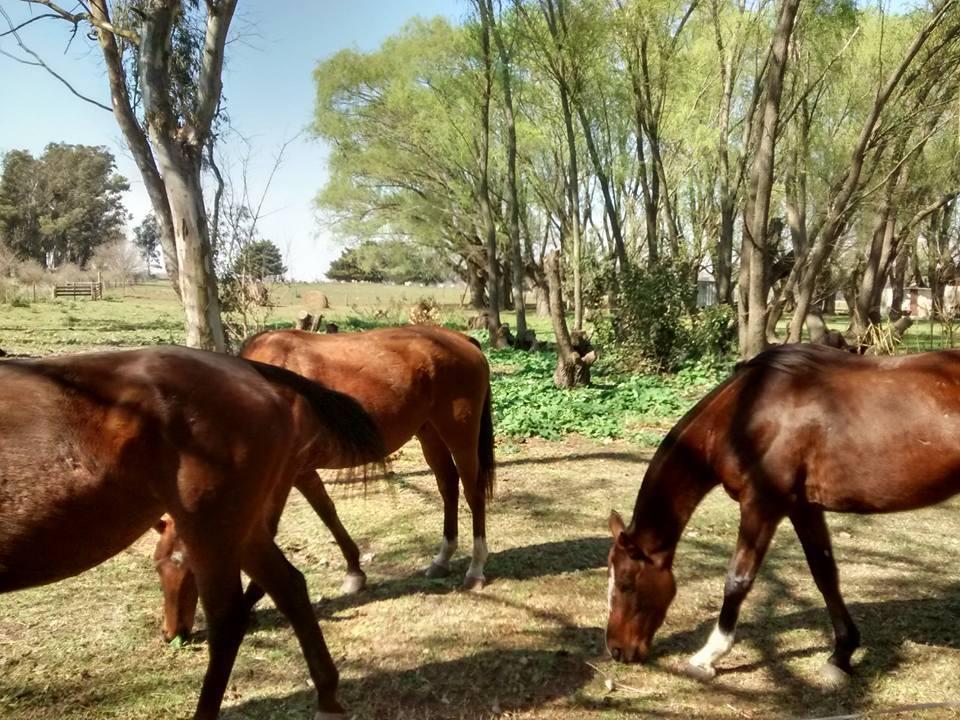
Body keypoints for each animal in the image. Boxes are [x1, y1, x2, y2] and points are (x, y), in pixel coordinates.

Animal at [0, 346, 382, 716]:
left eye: (174, 567)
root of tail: (248, 371)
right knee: (289, 586)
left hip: (210, 527)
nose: (169, 633)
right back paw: (328, 699)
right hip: (240, 528)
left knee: (229, 619)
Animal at [156, 324, 496, 636]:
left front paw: (252, 599)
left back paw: (476, 569)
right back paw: (442, 558)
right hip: (429, 433)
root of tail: (462, 339)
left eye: (180, 562)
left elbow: (270, 527)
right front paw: (354, 571)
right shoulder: (302, 473)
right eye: (158, 564)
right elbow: (327, 512)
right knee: (448, 486)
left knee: (473, 491)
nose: (172, 632)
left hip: (460, 435)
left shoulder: (286, 474)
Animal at [608, 346, 960, 684]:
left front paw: (707, 657)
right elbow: (825, 574)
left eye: (626, 583)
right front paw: (841, 656)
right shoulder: (803, 508)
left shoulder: (762, 506)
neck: (744, 414)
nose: (616, 650)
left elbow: (737, 580)